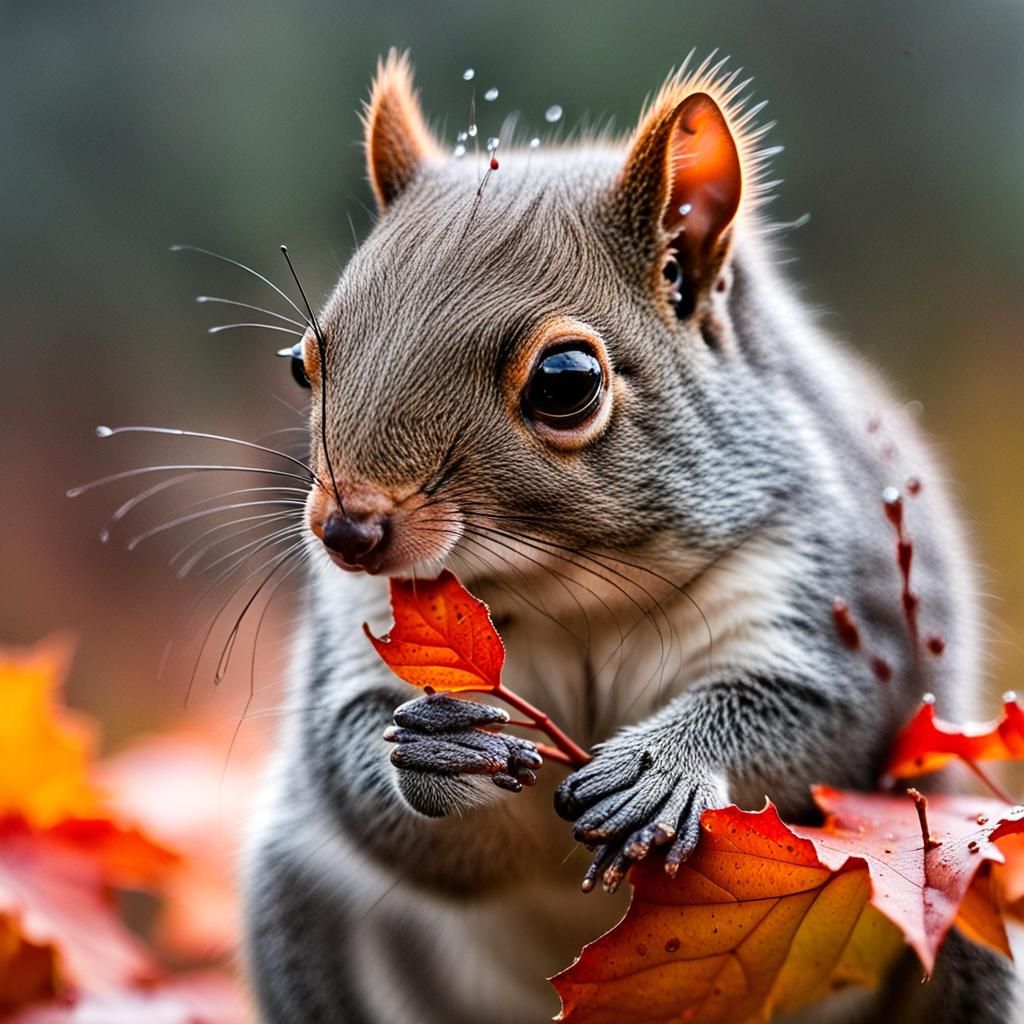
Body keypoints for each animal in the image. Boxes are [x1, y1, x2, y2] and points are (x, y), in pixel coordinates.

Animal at [242, 51, 1016, 1023]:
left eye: (566, 381)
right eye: (301, 365)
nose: (346, 529)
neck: (571, 590)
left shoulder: (838, 595)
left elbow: (822, 728)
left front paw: (662, 766)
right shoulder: (362, 632)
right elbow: (364, 785)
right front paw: (435, 748)